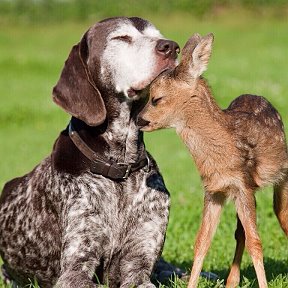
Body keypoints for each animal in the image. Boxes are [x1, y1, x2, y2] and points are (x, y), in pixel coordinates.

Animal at [0, 16, 180, 286]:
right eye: (121, 38)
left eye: (158, 34)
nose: (171, 46)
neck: (119, 168)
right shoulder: (76, 268)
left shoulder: (139, 263)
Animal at [137, 32, 288, 286]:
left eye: (156, 98)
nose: (139, 119)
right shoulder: (214, 190)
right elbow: (202, 242)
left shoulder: (242, 184)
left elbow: (256, 243)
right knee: (240, 233)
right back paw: (232, 281)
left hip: (280, 174)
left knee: (280, 215)